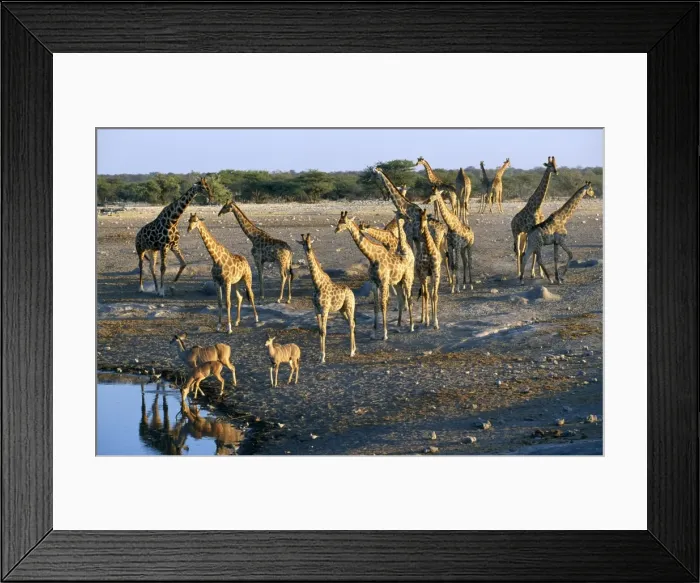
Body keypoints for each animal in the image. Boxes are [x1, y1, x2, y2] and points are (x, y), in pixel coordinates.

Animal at [298, 233, 356, 363]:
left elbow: (324, 331)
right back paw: (354, 349)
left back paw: (351, 352)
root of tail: (352, 293)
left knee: (351, 324)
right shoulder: (316, 310)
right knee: (352, 323)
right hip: (342, 310)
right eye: (303, 243)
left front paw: (323, 357)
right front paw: (320, 355)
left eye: (310, 242)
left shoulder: (325, 309)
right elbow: (320, 331)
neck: (317, 284)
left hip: (350, 307)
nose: (308, 249)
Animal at [335, 212, 414, 340]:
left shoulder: (383, 282)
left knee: (410, 298)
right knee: (401, 298)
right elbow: (376, 306)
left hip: (407, 279)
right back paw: (398, 326)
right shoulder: (374, 282)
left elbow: (383, 305)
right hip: (397, 282)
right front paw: (373, 332)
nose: (336, 229)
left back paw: (411, 326)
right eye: (338, 221)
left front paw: (385, 334)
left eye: (344, 222)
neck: (371, 257)